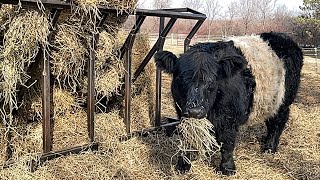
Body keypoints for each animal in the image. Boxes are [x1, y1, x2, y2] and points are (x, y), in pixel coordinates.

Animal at [154, 31, 304, 175]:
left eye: (212, 81)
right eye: (181, 78)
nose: (195, 111)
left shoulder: (229, 118)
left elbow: (227, 143)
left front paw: (227, 168)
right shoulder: (182, 113)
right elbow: (188, 138)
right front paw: (183, 165)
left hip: (283, 102)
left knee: (277, 123)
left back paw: (269, 147)